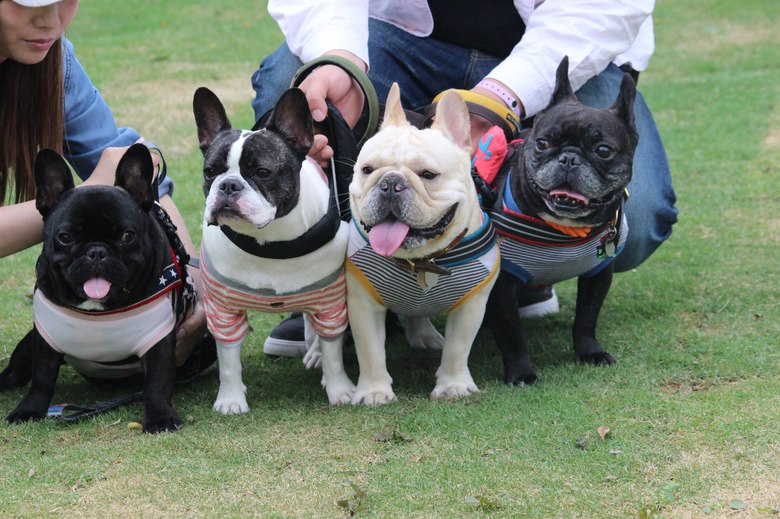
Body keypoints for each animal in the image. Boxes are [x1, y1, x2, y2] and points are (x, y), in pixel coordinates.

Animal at [1, 144, 190, 433]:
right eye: (65, 237)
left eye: (127, 236)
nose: (97, 251)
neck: (99, 310)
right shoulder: (44, 339)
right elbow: (42, 377)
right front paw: (29, 409)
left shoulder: (159, 341)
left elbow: (158, 381)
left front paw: (160, 417)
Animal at [193, 86, 355, 413]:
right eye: (210, 171)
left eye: (262, 172)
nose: (228, 185)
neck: (271, 242)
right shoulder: (223, 311)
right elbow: (229, 360)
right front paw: (231, 399)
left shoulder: (331, 303)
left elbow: (333, 351)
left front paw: (340, 390)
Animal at [346, 83, 500, 405]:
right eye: (367, 169)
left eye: (429, 175)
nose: (390, 183)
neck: (422, 259)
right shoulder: (363, 304)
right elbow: (370, 351)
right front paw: (374, 391)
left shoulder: (471, 305)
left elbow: (458, 348)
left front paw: (453, 385)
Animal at [484, 56, 638, 385]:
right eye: (542, 143)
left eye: (603, 150)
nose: (569, 158)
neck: (563, 228)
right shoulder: (502, 284)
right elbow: (512, 334)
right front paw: (521, 372)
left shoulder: (598, 273)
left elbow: (586, 318)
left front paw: (590, 352)